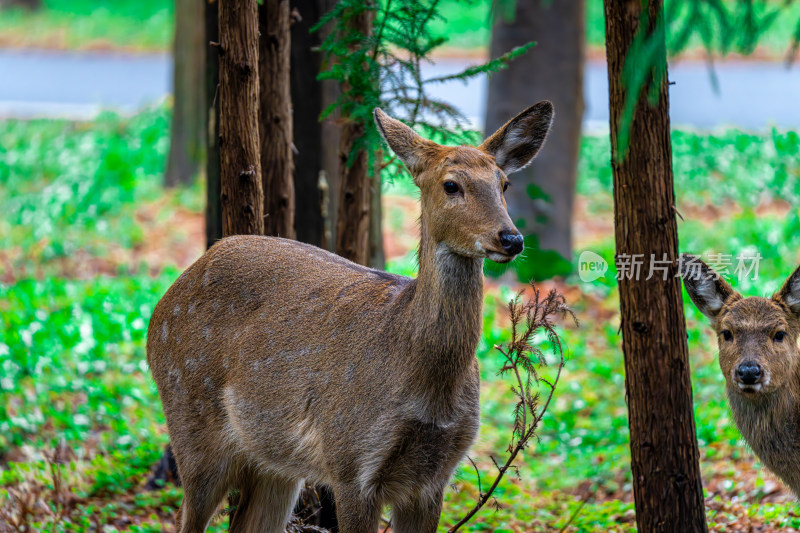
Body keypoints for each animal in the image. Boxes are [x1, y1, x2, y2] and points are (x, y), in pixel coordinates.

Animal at [147, 102, 552, 528]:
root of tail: (163, 305)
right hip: (190, 417)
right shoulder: (351, 461)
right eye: (451, 185)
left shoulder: (435, 475)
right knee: (185, 515)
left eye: (504, 184)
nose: (511, 239)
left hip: (273, 462)